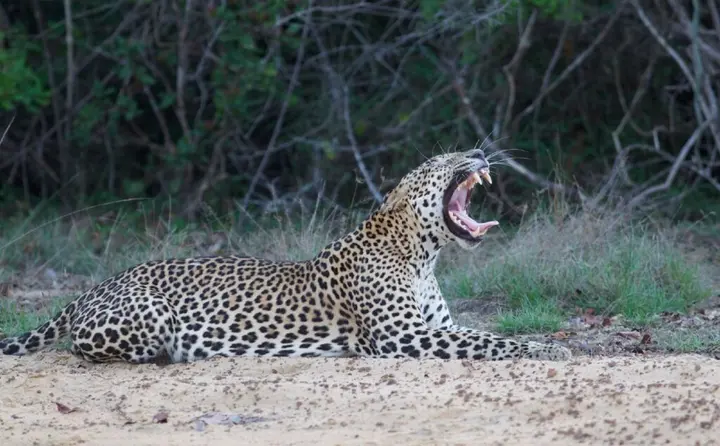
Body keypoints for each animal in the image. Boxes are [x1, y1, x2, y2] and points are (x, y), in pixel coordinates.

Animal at [0, 148, 571, 364]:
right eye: (445, 160)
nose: (477, 153)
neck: (422, 256)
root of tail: (92, 288)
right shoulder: (402, 336)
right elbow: (491, 341)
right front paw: (548, 350)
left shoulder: (435, 326)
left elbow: (485, 334)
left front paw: (548, 346)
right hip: (151, 314)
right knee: (85, 349)